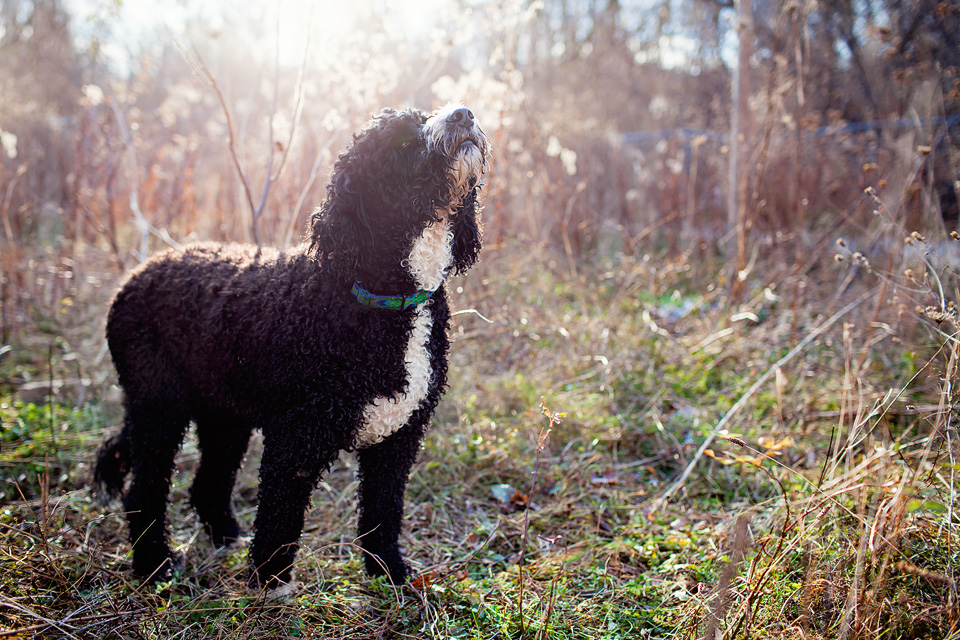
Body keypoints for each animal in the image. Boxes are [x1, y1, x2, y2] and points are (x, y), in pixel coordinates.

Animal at [93, 104, 488, 592]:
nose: (463, 113)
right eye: (402, 140)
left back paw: (225, 536)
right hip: (158, 404)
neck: (384, 296)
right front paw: (270, 583)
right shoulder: (296, 439)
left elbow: (382, 512)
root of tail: (136, 275)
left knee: (207, 483)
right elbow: (280, 517)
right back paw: (155, 563)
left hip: (224, 413)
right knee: (144, 488)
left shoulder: (398, 439)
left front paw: (389, 573)